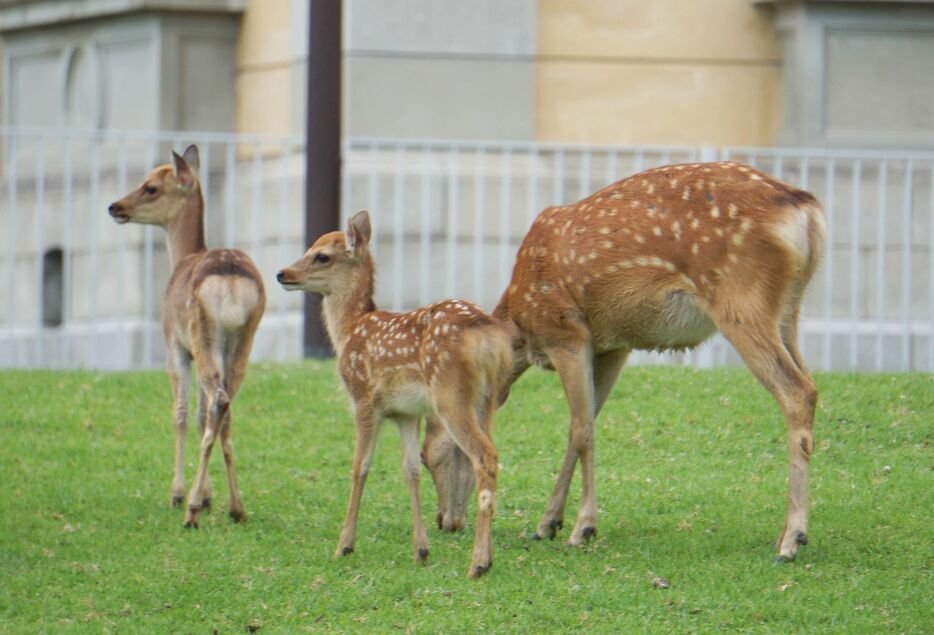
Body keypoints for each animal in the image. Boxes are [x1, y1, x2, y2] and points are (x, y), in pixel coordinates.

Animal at [108, 147, 266, 528]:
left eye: (150, 187)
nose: (115, 206)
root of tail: (231, 282)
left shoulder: (175, 345)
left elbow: (180, 413)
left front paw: (179, 493)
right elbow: (198, 415)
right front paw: (209, 497)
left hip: (203, 335)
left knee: (217, 404)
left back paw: (191, 510)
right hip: (242, 339)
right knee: (224, 408)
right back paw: (237, 508)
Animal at [278, 211, 512, 580]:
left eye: (321, 256)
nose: (282, 273)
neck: (348, 331)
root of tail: (489, 338)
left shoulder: (363, 399)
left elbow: (359, 465)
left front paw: (344, 546)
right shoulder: (406, 413)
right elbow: (410, 469)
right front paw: (421, 551)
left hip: (451, 395)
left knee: (485, 456)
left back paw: (476, 564)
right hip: (486, 400)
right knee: (489, 454)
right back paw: (486, 559)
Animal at [424, 161, 828, 564]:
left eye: (432, 454)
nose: (444, 521)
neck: (522, 324)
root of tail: (807, 212)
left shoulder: (565, 332)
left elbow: (582, 431)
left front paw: (582, 529)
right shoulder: (612, 347)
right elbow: (579, 425)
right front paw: (547, 524)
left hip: (742, 301)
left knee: (797, 391)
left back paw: (792, 540)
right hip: (788, 310)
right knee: (810, 384)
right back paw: (786, 535)